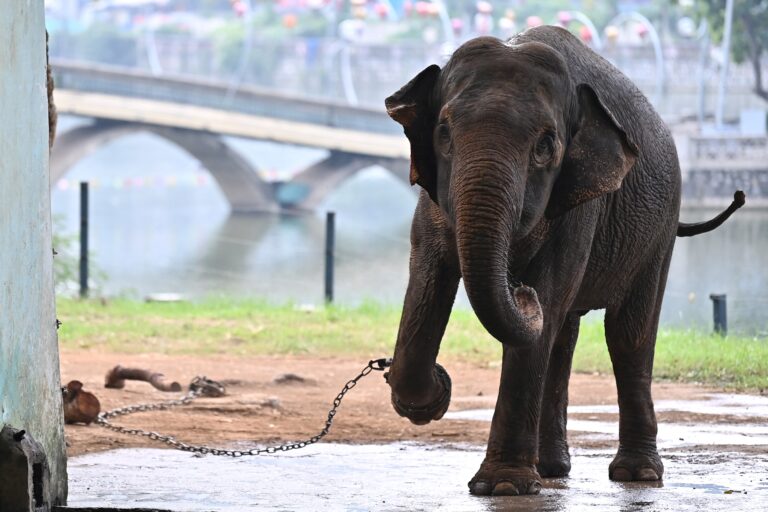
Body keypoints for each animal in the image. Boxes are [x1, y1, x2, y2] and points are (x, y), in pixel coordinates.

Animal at [384, 26, 744, 498]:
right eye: (443, 133)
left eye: (545, 146)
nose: (520, 290)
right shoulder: (431, 201)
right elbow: (426, 280)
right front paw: (434, 395)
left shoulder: (581, 205)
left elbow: (547, 305)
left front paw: (502, 487)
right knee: (564, 335)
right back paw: (552, 468)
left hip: (661, 227)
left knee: (626, 334)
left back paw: (636, 475)